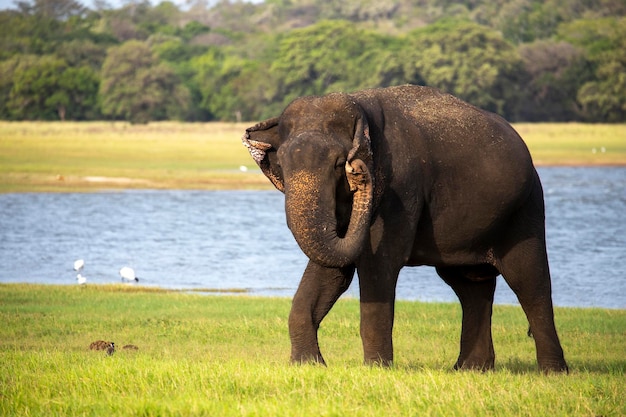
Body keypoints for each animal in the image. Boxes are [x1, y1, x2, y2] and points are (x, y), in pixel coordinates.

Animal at [240, 83, 564, 370]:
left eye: (338, 164)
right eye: (282, 164)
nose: (358, 173)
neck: (360, 107)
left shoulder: (401, 186)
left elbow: (378, 264)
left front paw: (375, 369)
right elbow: (332, 269)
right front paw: (308, 365)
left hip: (526, 209)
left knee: (529, 282)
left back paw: (551, 372)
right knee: (470, 285)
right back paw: (471, 369)